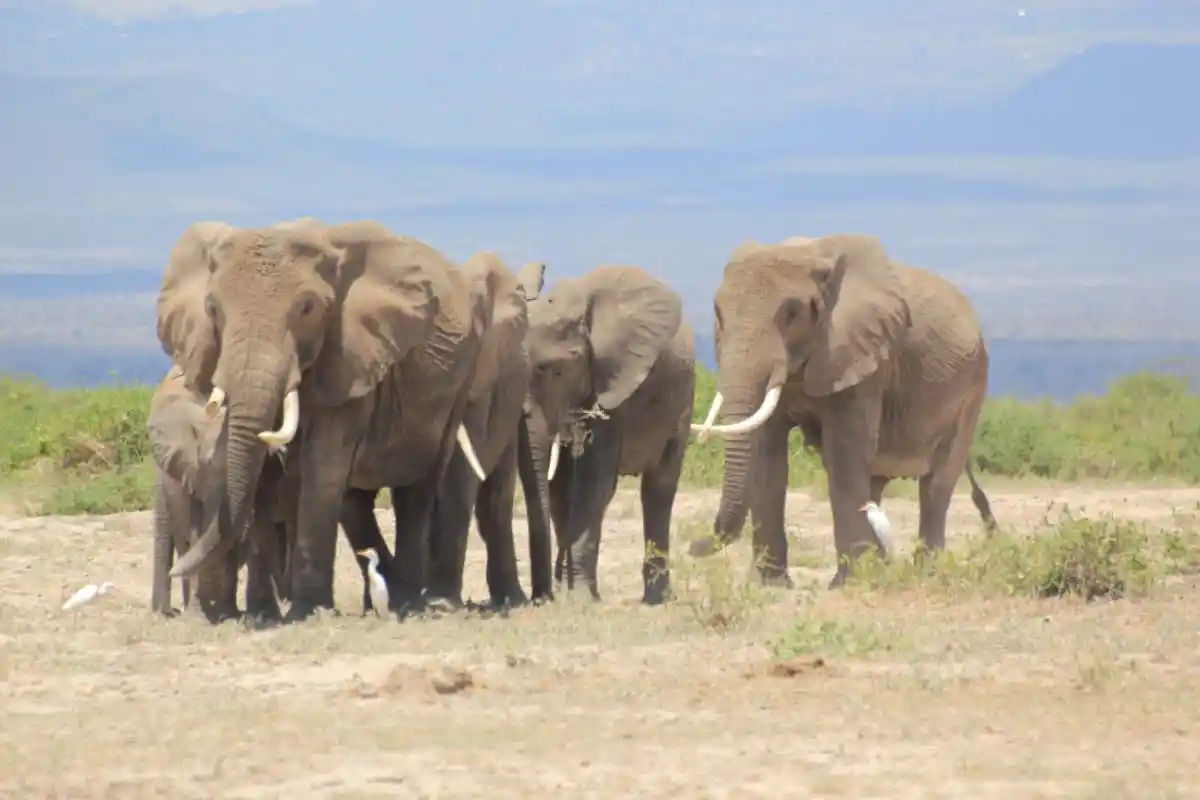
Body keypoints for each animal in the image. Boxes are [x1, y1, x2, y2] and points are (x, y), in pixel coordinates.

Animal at [146, 364, 292, 623]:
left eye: (260, 466)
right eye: (205, 463)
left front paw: (229, 614)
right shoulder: (190, 474)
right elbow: (197, 532)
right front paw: (201, 617)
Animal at [521, 265, 695, 605]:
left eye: (556, 371)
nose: (542, 598)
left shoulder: (615, 386)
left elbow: (593, 483)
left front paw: (579, 599)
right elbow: (562, 487)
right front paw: (569, 592)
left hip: (683, 401)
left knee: (659, 487)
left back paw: (657, 598)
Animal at [688, 233, 998, 588]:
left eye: (791, 313)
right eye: (718, 313)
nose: (692, 547)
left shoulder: (862, 356)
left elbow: (843, 453)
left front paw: (846, 584)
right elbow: (768, 454)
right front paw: (772, 585)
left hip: (973, 385)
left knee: (936, 484)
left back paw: (922, 575)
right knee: (875, 483)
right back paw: (881, 568)